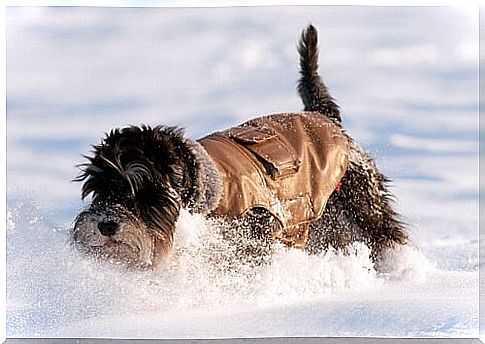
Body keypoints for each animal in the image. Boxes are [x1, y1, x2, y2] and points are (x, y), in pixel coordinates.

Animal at [72, 25, 406, 270]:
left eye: (145, 189)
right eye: (98, 188)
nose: (106, 225)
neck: (204, 183)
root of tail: (325, 115)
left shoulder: (255, 232)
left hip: (362, 203)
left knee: (387, 236)